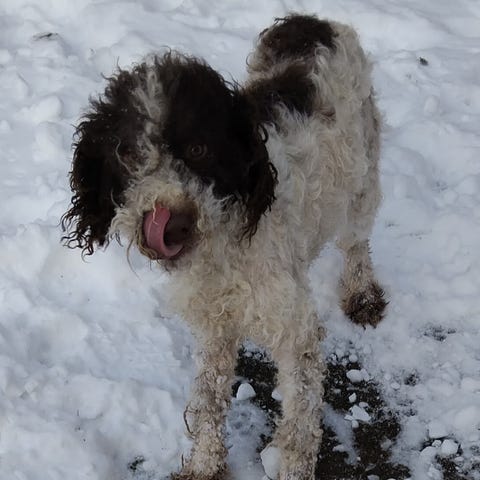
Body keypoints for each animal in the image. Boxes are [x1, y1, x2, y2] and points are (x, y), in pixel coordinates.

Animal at [62, 13, 386, 480]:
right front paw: (204, 465)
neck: (224, 244)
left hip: (361, 178)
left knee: (357, 241)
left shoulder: (296, 332)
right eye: (130, 155)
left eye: (199, 148)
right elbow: (209, 400)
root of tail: (311, 20)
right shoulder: (215, 326)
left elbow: (300, 422)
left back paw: (362, 293)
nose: (170, 225)